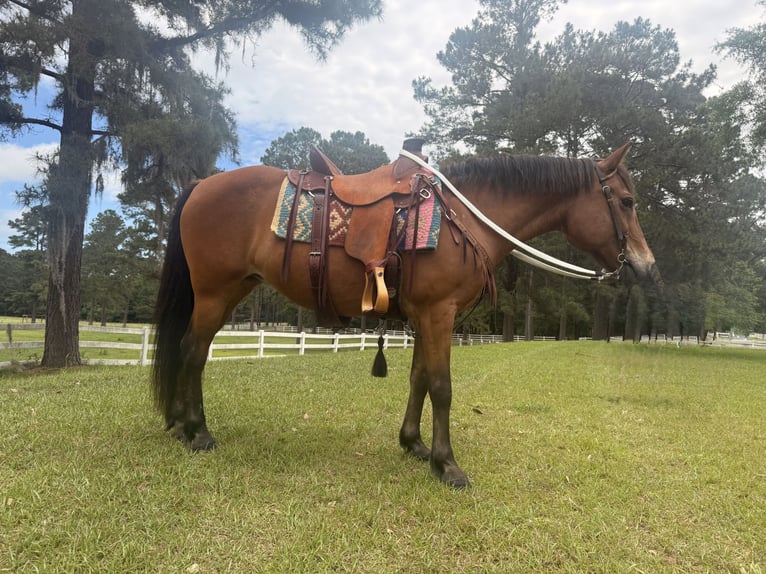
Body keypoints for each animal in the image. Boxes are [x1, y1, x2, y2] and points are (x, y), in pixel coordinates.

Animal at [151, 142, 660, 488]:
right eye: (628, 202)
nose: (647, 266)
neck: (463, 219)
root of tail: (201, 185)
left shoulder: (424, 316)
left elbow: (418, 379)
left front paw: (414, 444)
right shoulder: (438, 313)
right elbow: (441, 386)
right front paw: (447, 464)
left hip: (227, 291)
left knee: (188, 350)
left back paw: (179, 424)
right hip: (215, 292)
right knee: (193, 351)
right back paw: (198, 431)